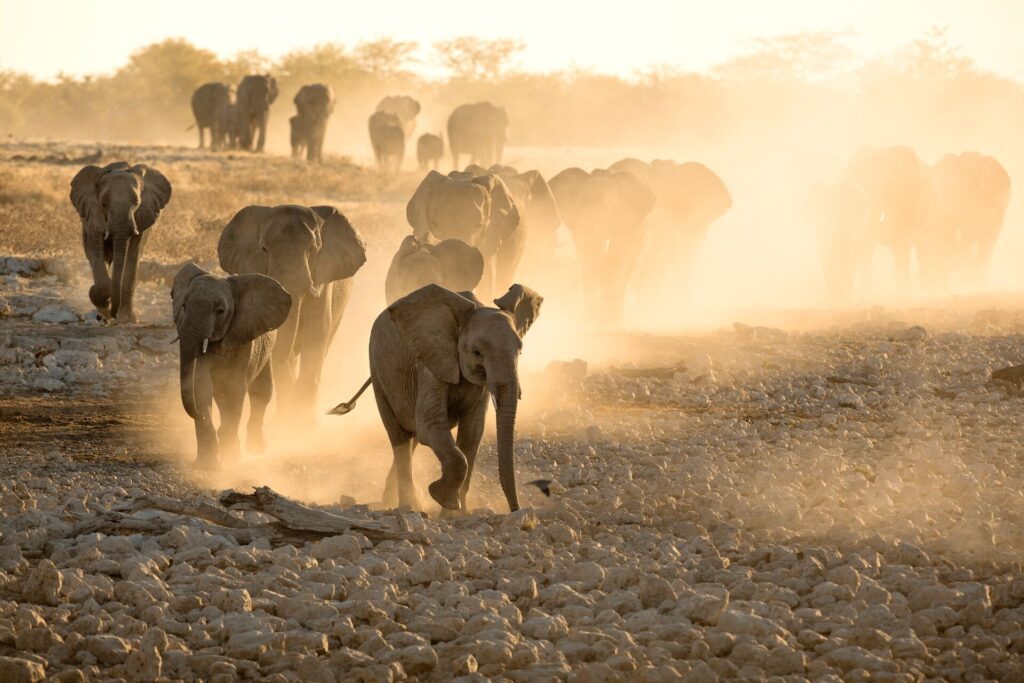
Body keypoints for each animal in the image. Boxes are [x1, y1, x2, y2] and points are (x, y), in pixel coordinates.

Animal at [70, 162, 173, 321]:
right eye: (103, 204)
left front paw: (127, 318)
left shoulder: (141, 218)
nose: (113, 314)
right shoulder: (94, 215)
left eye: (136, 203)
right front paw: (102, 299)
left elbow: (132, 256)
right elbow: (96, 252)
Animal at [172, 263, 291, 468]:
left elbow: (234, 390)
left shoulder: (244, 338)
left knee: (261, 391)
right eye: (184, 306)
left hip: (266, 350)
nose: (199, 414)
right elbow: (201, 387)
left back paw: (255, 449)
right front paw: (208, 466)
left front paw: (228, 458)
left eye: (220, 311)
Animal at [218, 204, 367, 418]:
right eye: (263, 249)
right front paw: (287, 420)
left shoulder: (323, 281)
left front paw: (301, 421)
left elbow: (315, 336)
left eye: (312, 249)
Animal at [330, 283, 543, 512]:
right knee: (400, 438)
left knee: (413, 437)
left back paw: (391, 499)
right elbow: (431, 425)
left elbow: (472, 432)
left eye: (520, 352)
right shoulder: (432, 363)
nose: (516, 509)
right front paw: (441, 497)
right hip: (379, 373)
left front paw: (456, 512)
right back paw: (410, 506)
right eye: (477, 353)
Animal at [549, 167, 656, 327]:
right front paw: (592, 320)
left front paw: (606, 319)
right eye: (580, 204)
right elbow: (586, 258)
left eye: (612, 209)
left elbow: (616, 257)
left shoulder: (624, 223)